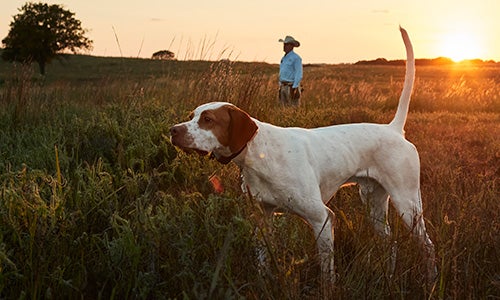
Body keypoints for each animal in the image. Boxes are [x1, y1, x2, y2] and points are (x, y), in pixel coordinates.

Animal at [170, 27, 436, 282]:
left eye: (208, 119)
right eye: (192, 116)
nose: (173, 131)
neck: (259, 152)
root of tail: (393, 129)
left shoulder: (322, 217)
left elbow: (327, 275)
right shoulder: (263, 217)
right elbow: (263, 262)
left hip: (408, 204)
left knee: (428, 245)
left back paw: (430, 280)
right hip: (374, 201)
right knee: (390, 241)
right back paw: (388, 276)